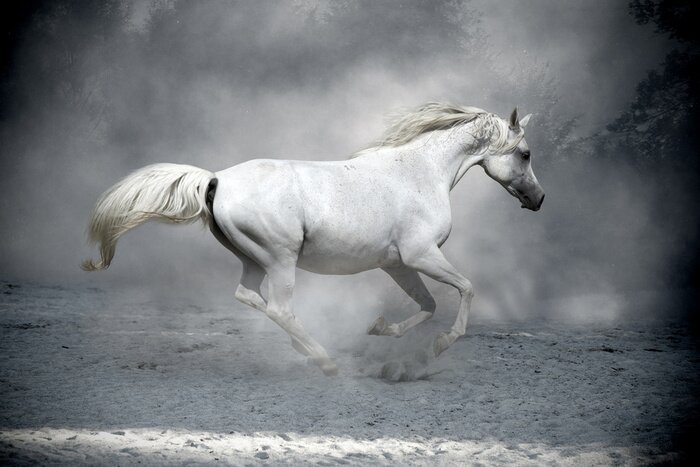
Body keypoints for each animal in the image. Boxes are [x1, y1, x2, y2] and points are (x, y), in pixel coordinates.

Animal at [82, 103, 544, 376]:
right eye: (525, 154)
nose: (538, 199)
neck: (420, 173)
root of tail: (217, 179)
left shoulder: (396, 263)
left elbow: (428, 305)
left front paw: (380, 330)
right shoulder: (420, 255)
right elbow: (466, 289)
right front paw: (439, 346)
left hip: (254, 260)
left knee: (250, 296)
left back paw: (304, 348)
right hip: (281, 260)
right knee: (280, 307)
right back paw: (323, 359)